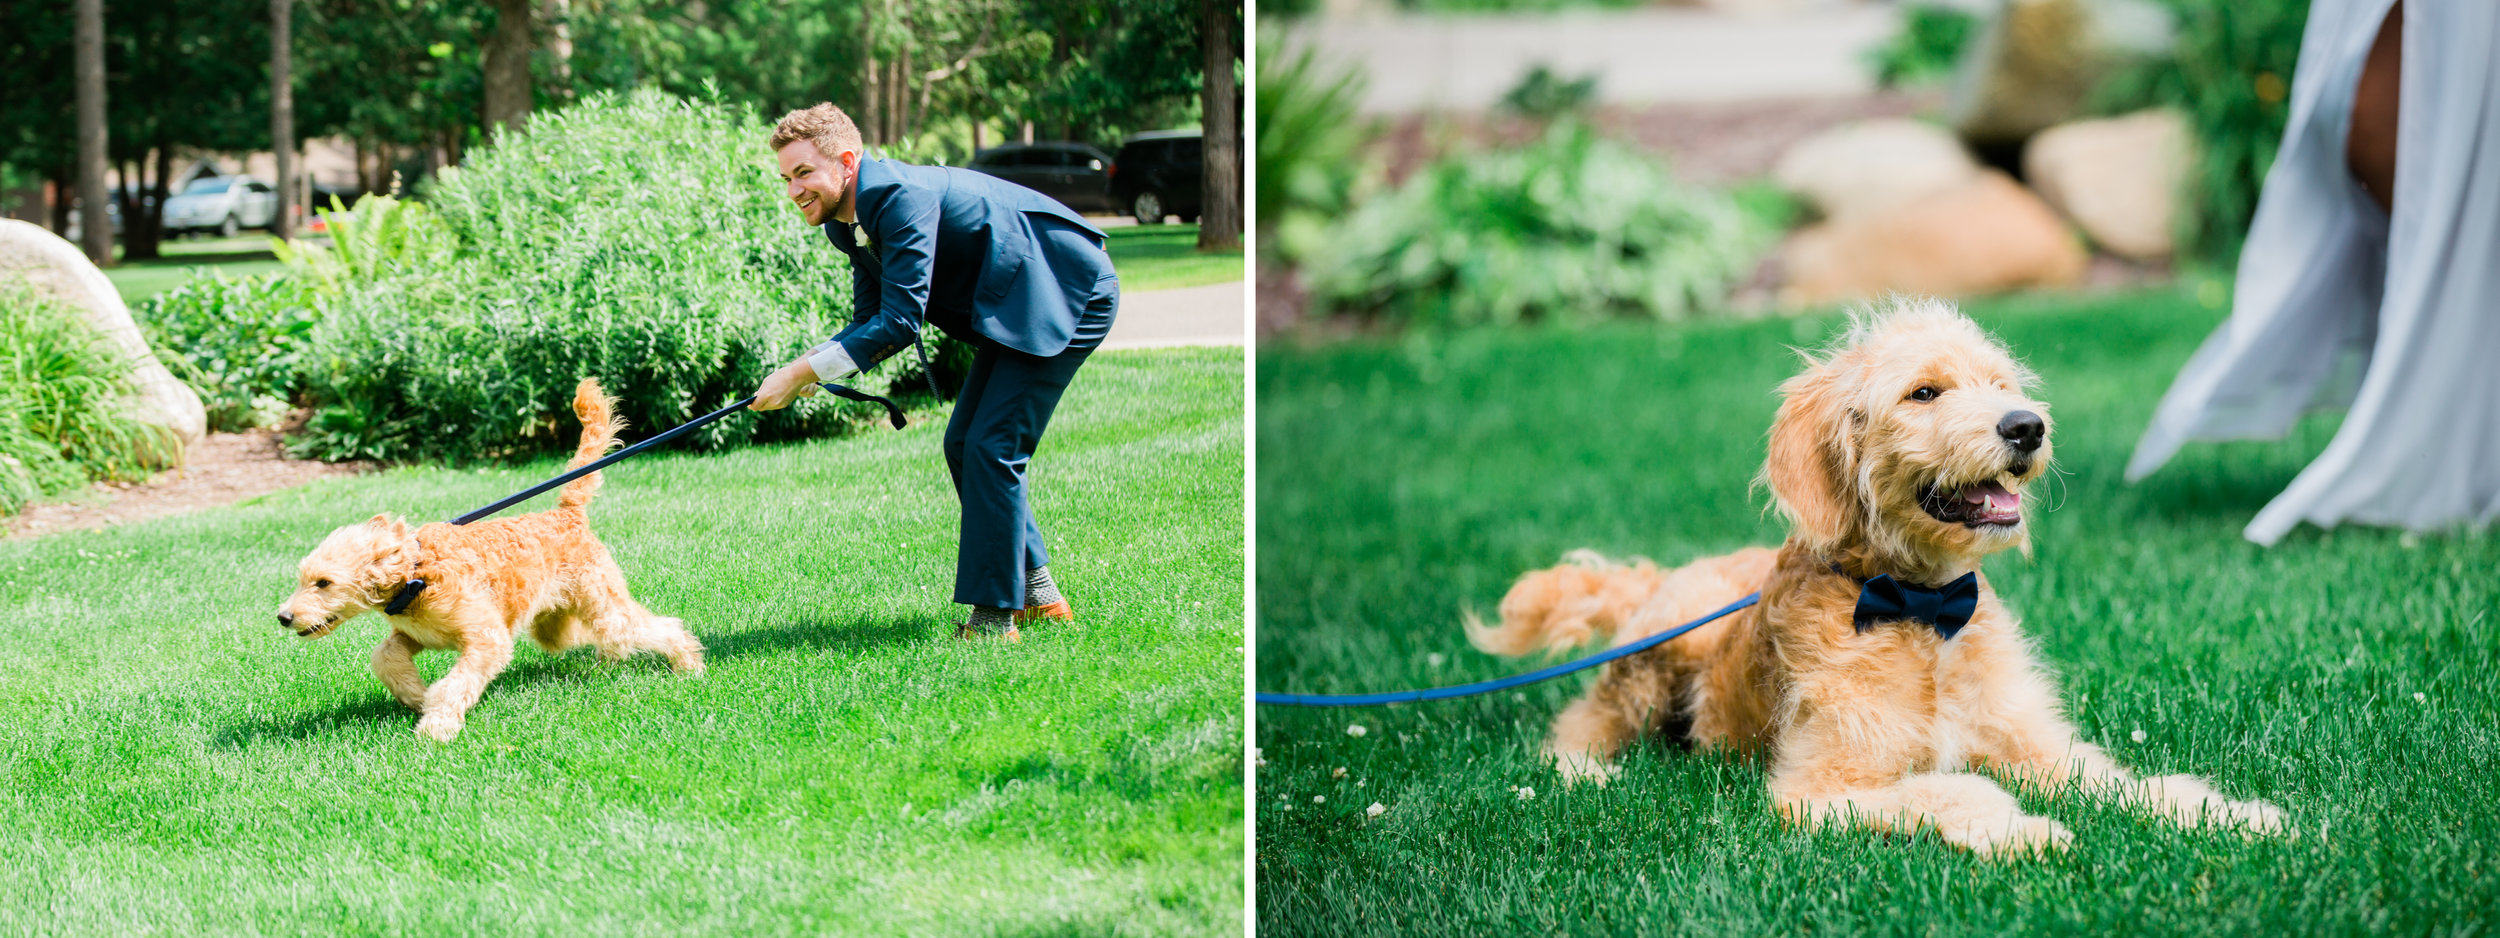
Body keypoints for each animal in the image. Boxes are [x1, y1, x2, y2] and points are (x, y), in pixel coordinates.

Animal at [276, 380, 705, 740]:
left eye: (324, 582)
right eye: (303, 578)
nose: (283, 617)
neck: (416, 576)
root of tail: (567, 515)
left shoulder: (487, 638)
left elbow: (453, 685)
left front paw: (436, 725)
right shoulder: (413, 636)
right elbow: (385, 657)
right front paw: (414, 695)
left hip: (602, 605)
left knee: (656, 626)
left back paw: (689, 664)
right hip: (552, 623)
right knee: (594, 637)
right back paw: (611, 661)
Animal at [1460, 301, 2290, 860]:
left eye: (1999, 383)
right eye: (1924, 392)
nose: (2027, 426)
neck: (1923, 611)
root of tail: (1659, 581)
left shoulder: (2037, 747)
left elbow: (2131, 781)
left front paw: (2235, 815)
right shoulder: (1822, 787)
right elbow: (1947, 785)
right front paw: (2021, 828)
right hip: (1656, 658)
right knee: (1581, 718)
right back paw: (1581, 773)